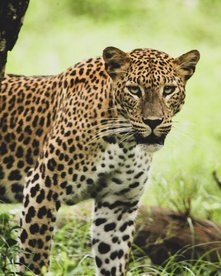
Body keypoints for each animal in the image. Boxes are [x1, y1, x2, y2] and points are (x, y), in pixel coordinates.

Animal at [0, 46, 200, 274]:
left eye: (168, 90)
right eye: (134, 90)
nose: (153, 122)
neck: (124, 143)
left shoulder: (118, 204)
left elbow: (113, 260)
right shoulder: (42, 190)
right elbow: (35, 259)